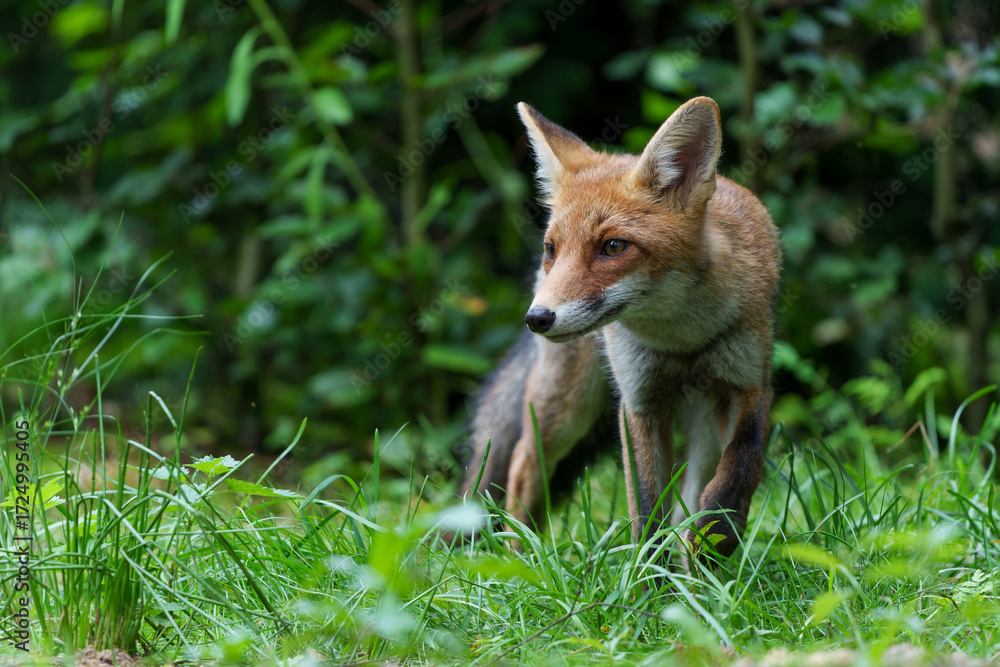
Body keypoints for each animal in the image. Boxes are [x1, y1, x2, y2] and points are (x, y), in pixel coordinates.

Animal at [459, 97, 781, 561]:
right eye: (552, 249)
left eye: (613, 246)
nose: (537, 319)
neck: (682, 341)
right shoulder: (638, 400)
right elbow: (647, 506)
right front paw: (650, 576)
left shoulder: (750, 384)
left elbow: (742, 462)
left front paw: (715, 535)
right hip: (566, 406)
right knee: (523, 466)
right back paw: (520, 560)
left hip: (700, 420)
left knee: (694, 482)